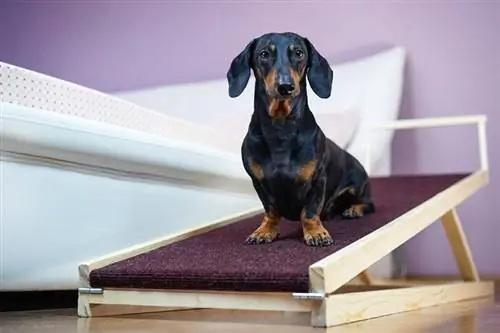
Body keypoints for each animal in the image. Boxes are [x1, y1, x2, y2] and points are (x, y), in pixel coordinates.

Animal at [227, 32, 376, 245]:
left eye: (299, 53)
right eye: (264, 54)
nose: (285, 86)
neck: (280, 129)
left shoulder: (317, 181)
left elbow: (310, 212)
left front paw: (315, 232)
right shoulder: (259, 183)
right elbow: (271, 211)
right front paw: (265, 230)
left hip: (358, 187)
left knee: (368, 204)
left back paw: (354, 209)